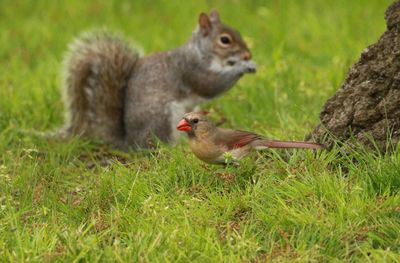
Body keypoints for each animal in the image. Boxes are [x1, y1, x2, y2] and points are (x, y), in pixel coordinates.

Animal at [62, 10, 256, 151]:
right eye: (225, 40)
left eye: (238, 32)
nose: (247, 55)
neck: (200, 53)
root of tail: (129, 142)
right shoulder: (191, 70)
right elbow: (211, 85)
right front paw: (242, 67)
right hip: (163, 118)